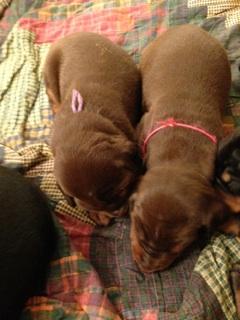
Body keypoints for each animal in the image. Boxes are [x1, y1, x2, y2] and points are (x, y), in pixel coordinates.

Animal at [43, 31, 142, 224]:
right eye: (90, 207)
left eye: (122, 189)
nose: (117, 213)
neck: (80, 131)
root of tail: (73, 35)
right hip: (49, 75)